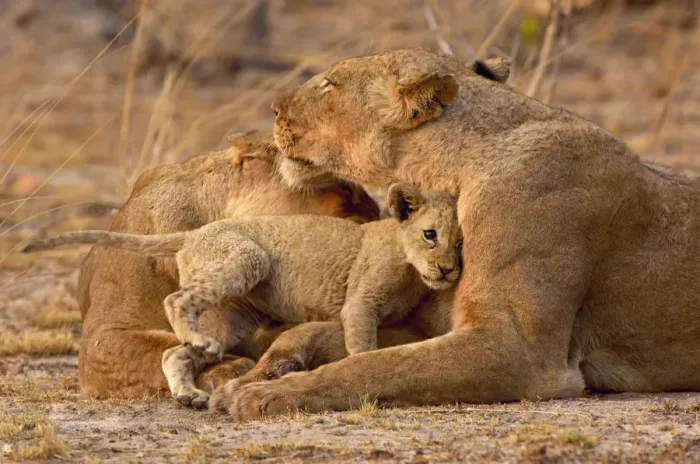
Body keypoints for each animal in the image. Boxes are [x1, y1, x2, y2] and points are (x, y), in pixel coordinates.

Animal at [25, 182, 461, 407]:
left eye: (460, 243)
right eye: (430, 234)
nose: (448, 270)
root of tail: (194, 233)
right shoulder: (360, 304)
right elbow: (361, 347)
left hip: (231, 319)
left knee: (174, 352)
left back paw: (188, 393)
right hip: (248, 259)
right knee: (175, 302)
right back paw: (195, 350)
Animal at [212, 48, 700, 420]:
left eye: (330, 84)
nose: (274, 108)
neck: (450, 170)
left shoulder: (518, 350)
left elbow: (374, 367)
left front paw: (265, 394)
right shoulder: (434, 324)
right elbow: (328, 338)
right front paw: (254, 375)